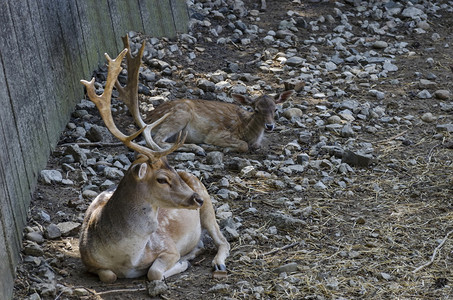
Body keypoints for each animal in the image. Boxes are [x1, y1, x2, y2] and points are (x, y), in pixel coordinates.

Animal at [78, 48, 230, 288]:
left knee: (223, 240)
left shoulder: (167, 247)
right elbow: (109, 275)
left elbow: (154, 272)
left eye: (174, 171)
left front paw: (184, 262)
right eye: (162, 179)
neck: (126, 257)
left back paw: (217, 263)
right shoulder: (88, 260)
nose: (196, 199)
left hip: (207, 204)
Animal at [115, 36, 294, 156]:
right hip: (179, 115)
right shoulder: (218, 133)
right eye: (256, 109)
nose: (269, 126)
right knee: (157, 140)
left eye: (275, 109)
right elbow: (242, 145)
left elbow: (256, 146)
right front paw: (221, 147)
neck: (246, 129)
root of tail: (148, 118)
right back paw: (199, 148)